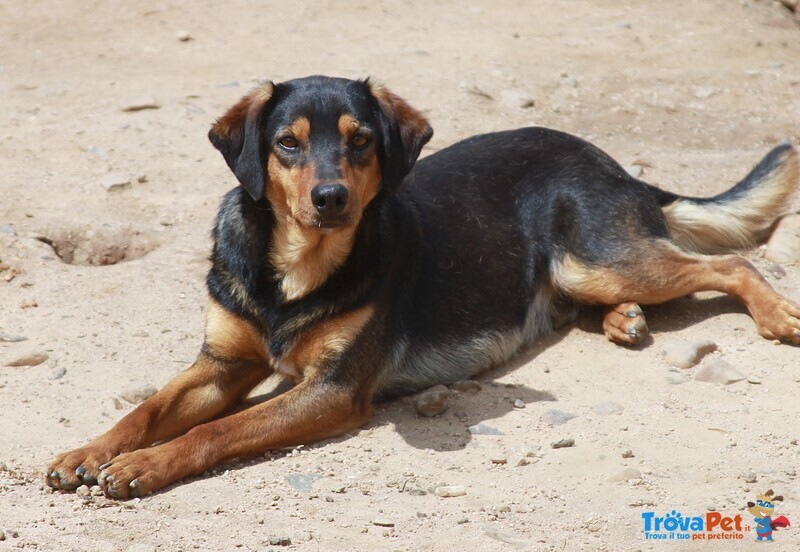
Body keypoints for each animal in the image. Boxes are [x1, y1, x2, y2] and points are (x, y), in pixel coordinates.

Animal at [47, 75, 796, 498]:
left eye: (360, 141)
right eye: (287, 143)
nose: (330, 199)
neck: (293, 268)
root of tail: (614, 165)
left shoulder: (332, 390)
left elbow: (219, 430)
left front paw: (145, 467)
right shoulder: (221, 364)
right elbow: (144, 410)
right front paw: (89, 452)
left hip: (595, 258)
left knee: (729, 266)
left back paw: (777, 315)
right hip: (585, 271)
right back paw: (624, 320)